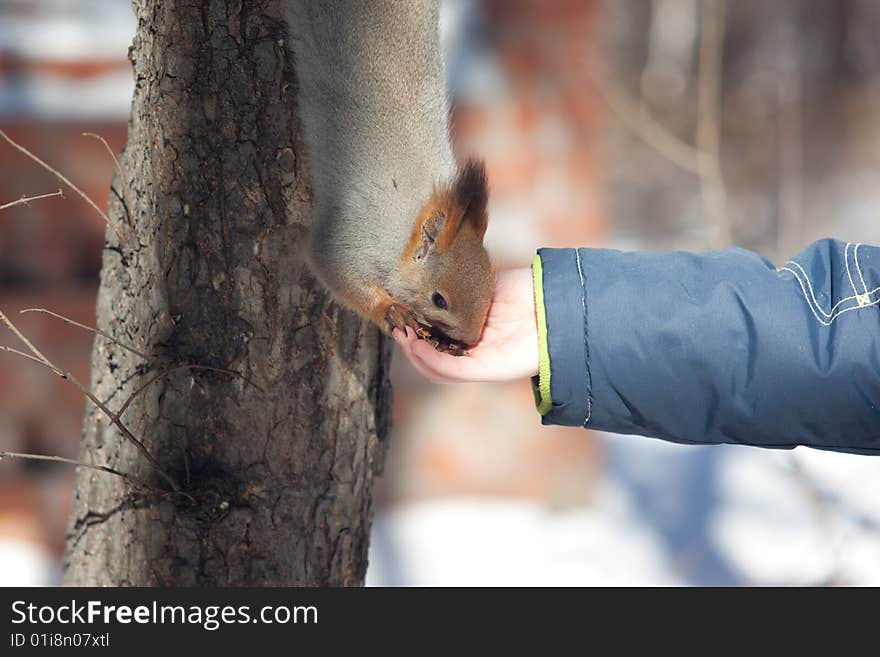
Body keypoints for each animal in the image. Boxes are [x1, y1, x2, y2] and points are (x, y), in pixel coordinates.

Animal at [282, 1, 492, 348]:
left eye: (490, 285)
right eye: (439, 300)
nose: (470, 340)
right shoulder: (354, 233)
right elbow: (333, 268)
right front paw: (389, 309)